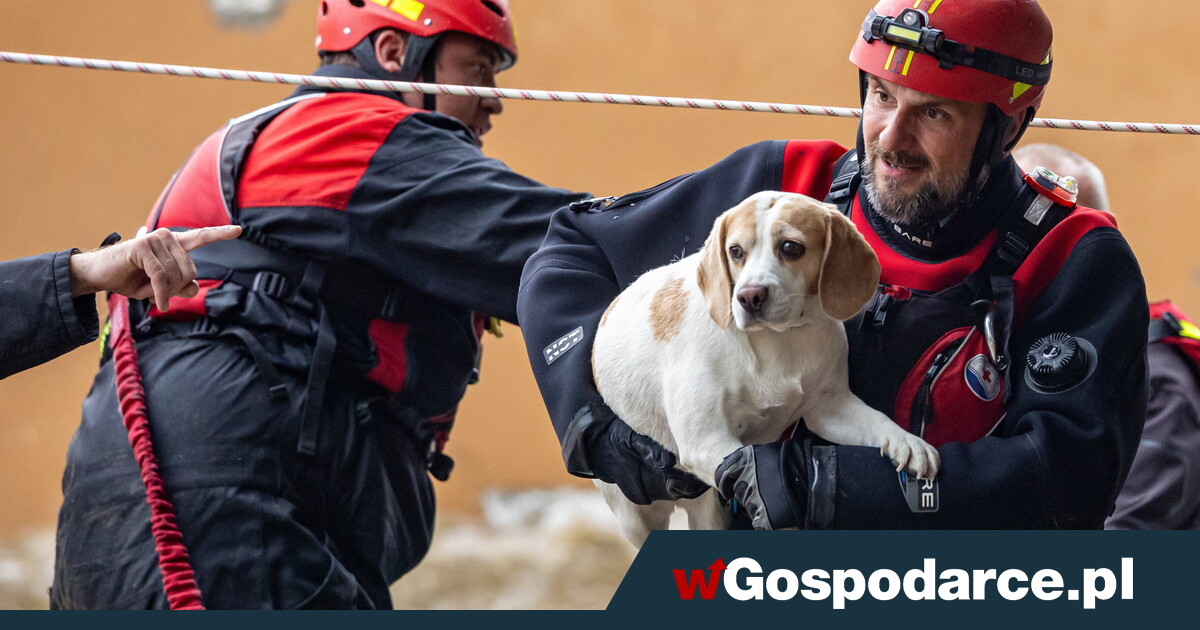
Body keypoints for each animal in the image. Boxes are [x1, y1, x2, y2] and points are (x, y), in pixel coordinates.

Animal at [595, 188, 940, 544]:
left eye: (790, 247)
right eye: (735, 251)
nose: (749, 297)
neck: (777, 340)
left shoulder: (830, 411)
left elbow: (879, 422)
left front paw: (907, 443)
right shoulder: (706, 441)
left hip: (711, 514)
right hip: (638, 518)